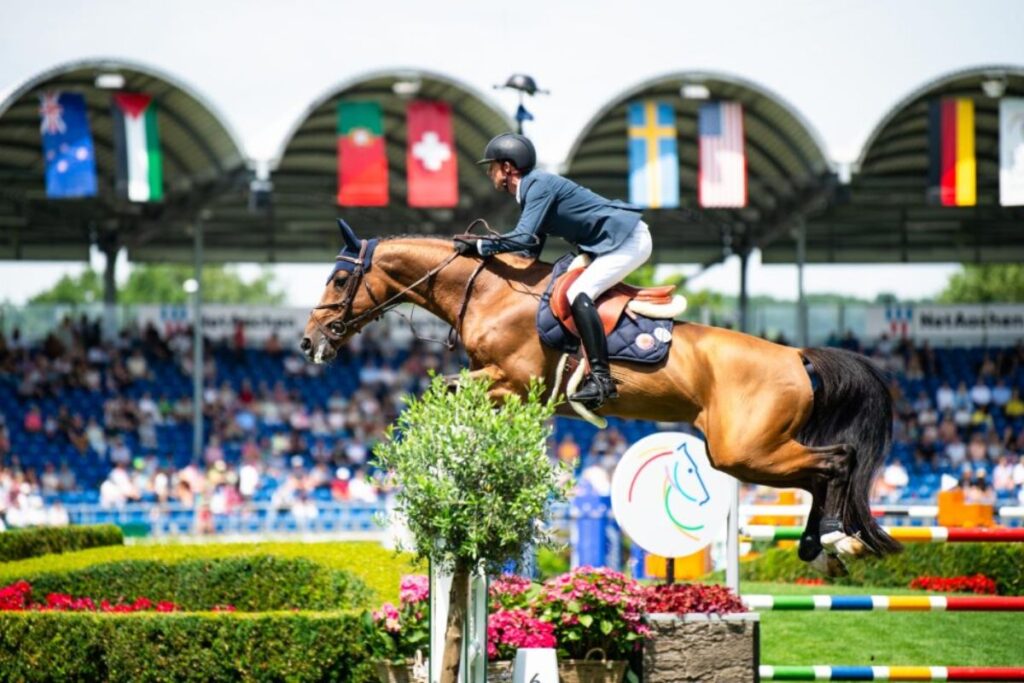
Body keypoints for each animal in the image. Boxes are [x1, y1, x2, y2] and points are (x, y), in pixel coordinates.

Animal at [299, 223, 901, 573]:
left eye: (338, 280)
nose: (309, 342)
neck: (488, 291)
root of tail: (797, 356)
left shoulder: (511, 382)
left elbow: (441, 395)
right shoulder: (499, 386)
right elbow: (444, 398)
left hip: (744, 450)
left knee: (836, 461)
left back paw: (839, 540)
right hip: (747, 451)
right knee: (819, 472)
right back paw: (819, 547)